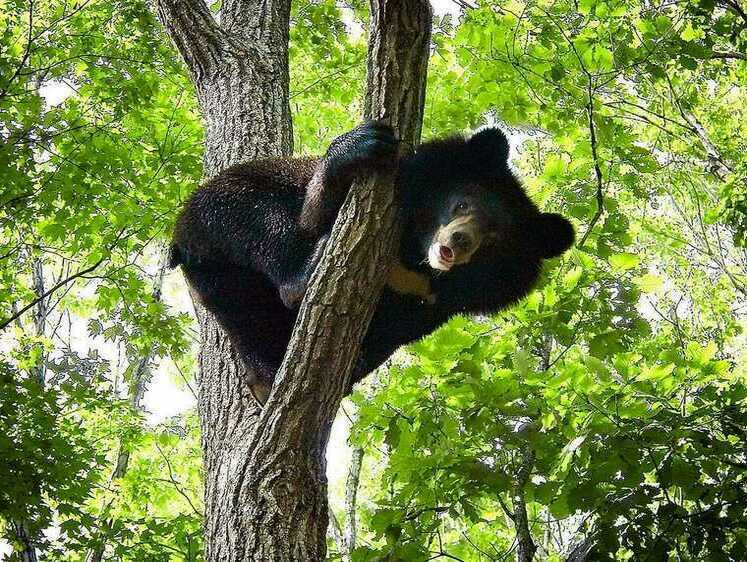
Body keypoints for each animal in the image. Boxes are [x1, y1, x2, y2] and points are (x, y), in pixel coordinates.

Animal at [171, 121, 580, 398]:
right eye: (462, 203)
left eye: (494, 239)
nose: (459, 241)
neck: (412, 255)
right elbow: (311, 213)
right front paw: (358, 146)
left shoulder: (432, 302)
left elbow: (392, 332)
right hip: (213, 225)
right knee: (247, 209)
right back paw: (298, 283)